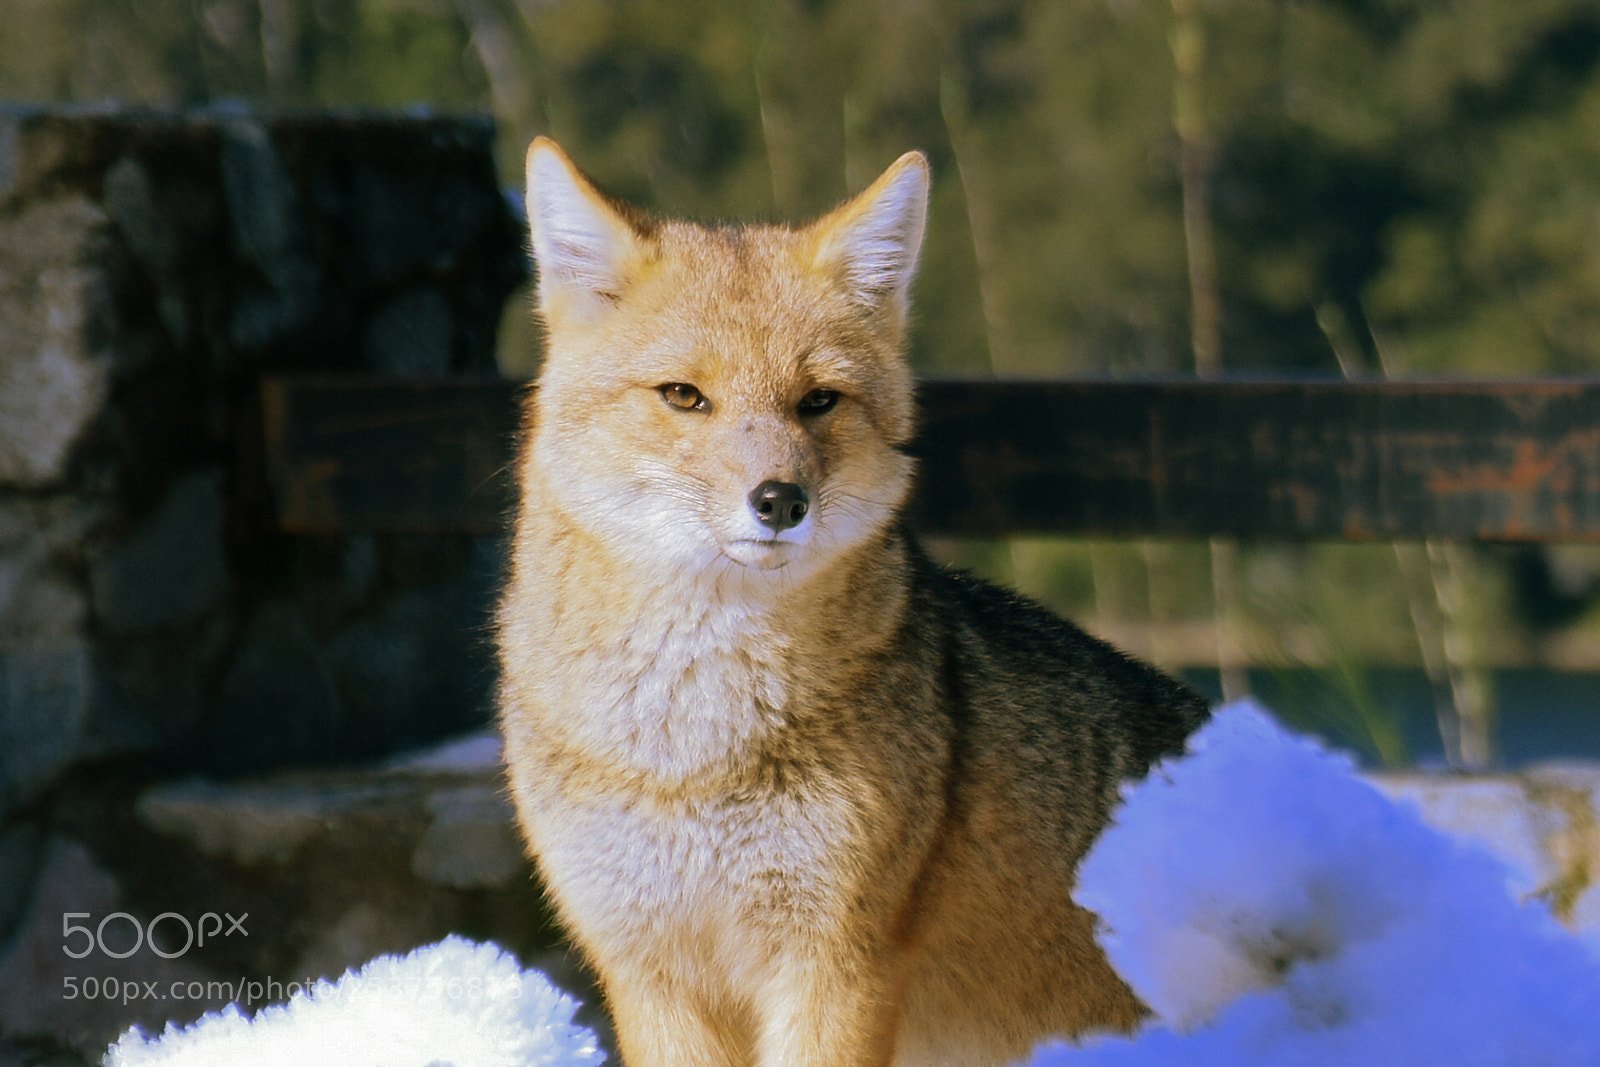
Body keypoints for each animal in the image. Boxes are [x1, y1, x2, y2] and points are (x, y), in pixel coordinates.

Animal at [496, 137, 1211, 1067]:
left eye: (818, 401)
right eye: (684, 395)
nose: (780, 500)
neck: (691, 753)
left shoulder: (839, 962)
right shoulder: (649, 972)